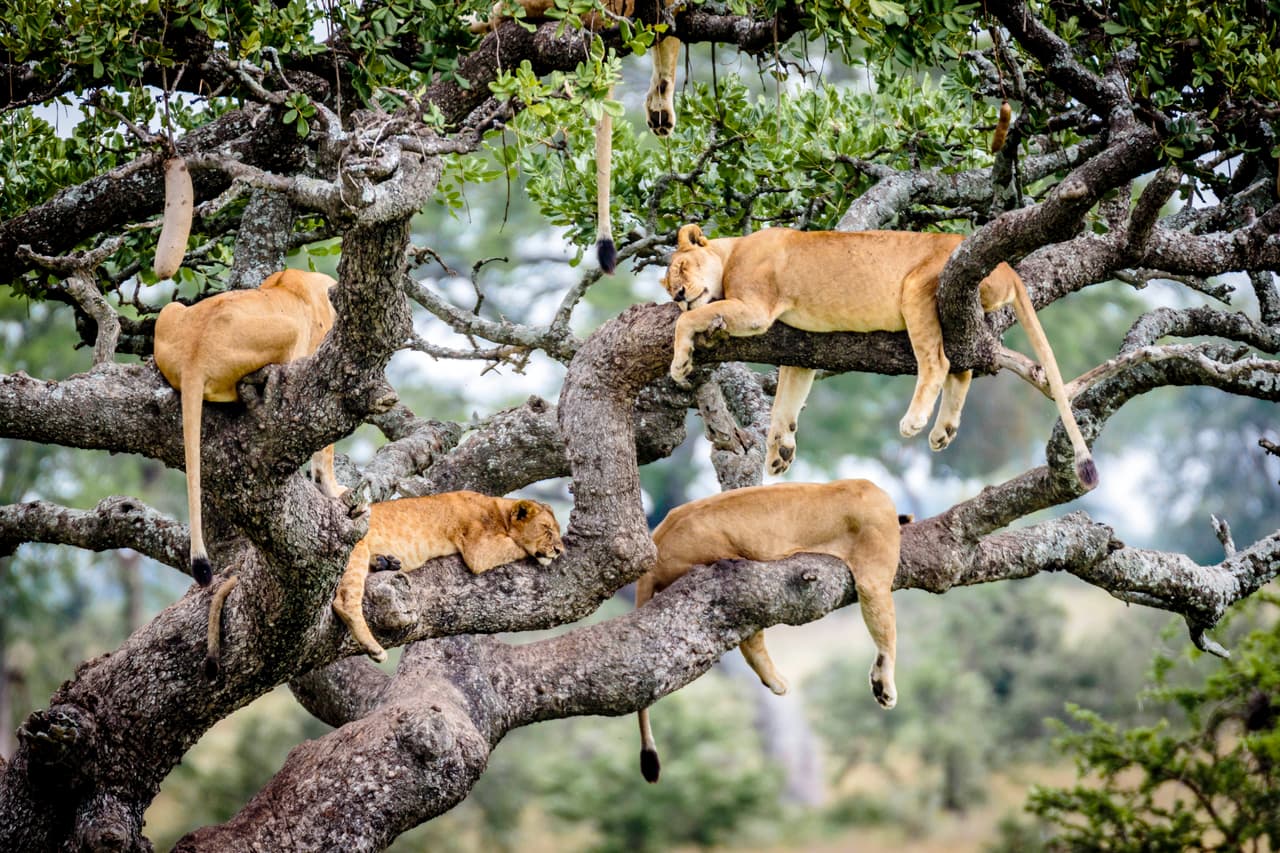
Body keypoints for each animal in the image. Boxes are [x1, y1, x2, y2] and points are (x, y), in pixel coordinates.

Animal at [332, 491, 565, 662]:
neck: (500, 513)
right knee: (344, 601)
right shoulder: (479, 551)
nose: (560, 550)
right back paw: (375, 649)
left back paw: (386, 562)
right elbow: (517, 546)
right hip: (357, 551)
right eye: (546, 529)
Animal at [635, 479, 904, 782]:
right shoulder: (873, 574)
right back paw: (777, 682)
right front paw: (885, 688)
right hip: (738, 579)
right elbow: (887, 634)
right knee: (750, 639)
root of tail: (657, 543)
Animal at [661, 224, 1099, 489]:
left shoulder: (756, 309)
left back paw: (915, 421)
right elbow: (785, 405)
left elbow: (691, 320)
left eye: (682, 266)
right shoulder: (800, 351)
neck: (732, 251)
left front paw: (679, 363)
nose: (679, 295)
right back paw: (943, 431)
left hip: (917, 288)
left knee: (938, 363)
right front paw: (780, 452)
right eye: (667, 285)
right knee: (962, 368)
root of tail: (1008, 265)